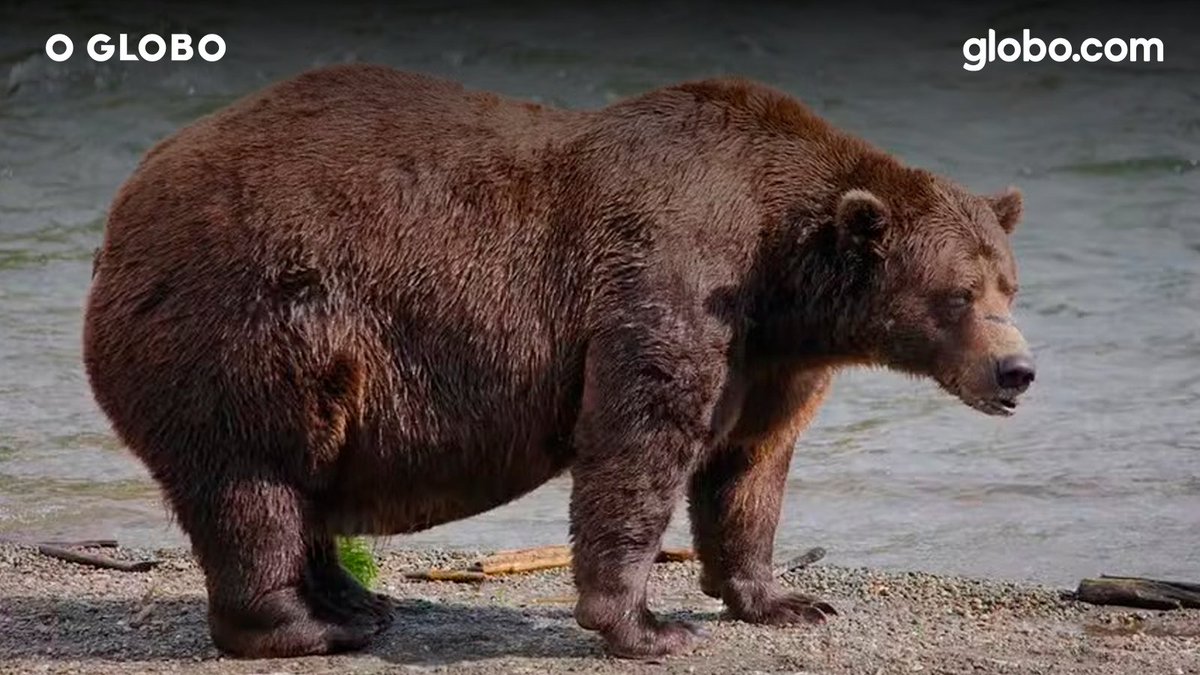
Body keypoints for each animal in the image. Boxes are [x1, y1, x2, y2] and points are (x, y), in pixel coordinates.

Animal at [83, 64, 1035, 659]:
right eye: (958, 294)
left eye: (1008, 283)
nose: (1016, 371)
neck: (783, 271)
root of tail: (124, 205)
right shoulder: (672, 277)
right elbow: (639, 441)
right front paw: (648, 625)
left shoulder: (771, 356)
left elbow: (749, 466)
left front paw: (784, 599)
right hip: (250, 321)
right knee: (254, 480)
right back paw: (308, 626)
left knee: (300, 484)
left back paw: (358, 601)